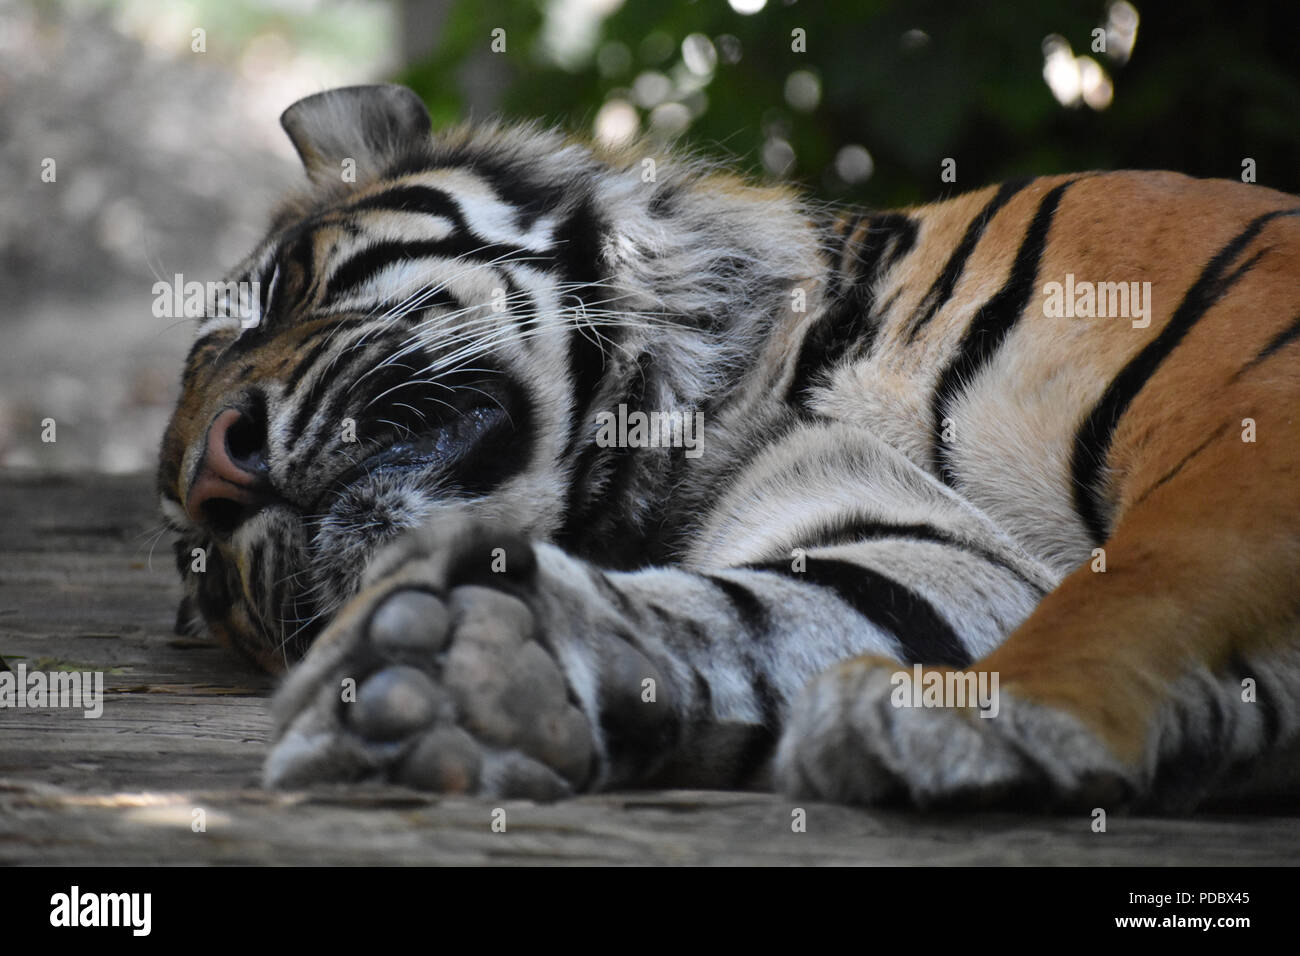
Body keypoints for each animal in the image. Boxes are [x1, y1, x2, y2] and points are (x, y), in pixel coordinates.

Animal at [159, 85, 1300, 811]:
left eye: (281, 290)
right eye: (202, 568)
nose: (213, 476)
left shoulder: (1251, 396)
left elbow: (1150, 569)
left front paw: (994, 720)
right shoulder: (909, 536)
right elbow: (785, 609)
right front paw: (464, 670)